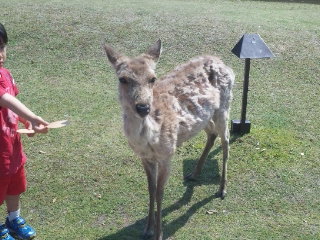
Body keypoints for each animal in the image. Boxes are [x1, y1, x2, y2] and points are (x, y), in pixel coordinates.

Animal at [104, 40, 235, 239]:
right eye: (123, 79)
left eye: (152, 78)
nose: (143, 107)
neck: (149, 140)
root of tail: (223, 63)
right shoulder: (145, 157)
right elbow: (150, 189)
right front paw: (147, 229)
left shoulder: (167, 154)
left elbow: (160, 192)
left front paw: (158, 233)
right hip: (205, 117)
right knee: (211, 134)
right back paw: (193, 174)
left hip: (225, 105)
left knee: (226, 139)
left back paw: (222, 189)